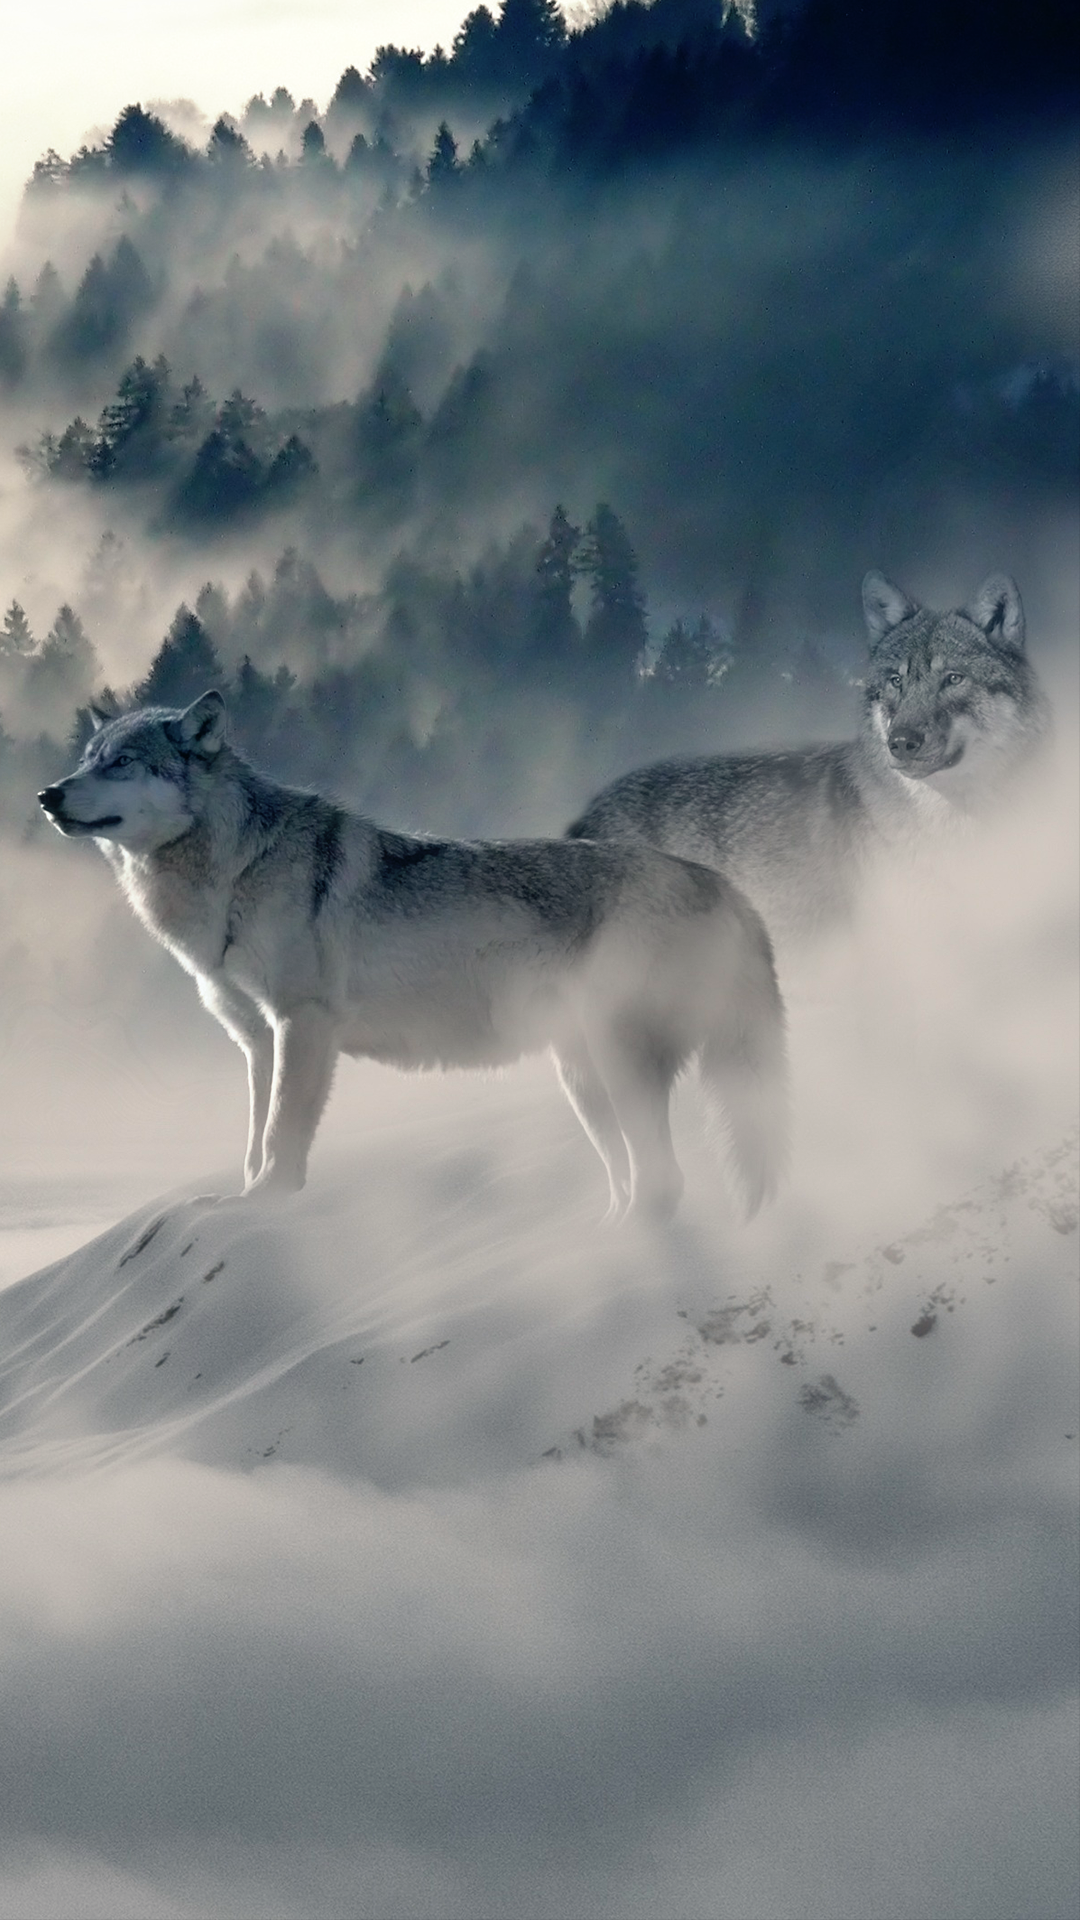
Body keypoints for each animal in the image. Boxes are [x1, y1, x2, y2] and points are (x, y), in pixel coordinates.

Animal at [38, 691, 787, 1220]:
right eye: (87, 758)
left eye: (121, 763)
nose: (47, 794)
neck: (234, 871)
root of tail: (725, 886)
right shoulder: (257, 1040)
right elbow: (252, 1141)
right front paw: (238, 1199)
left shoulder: (304, 1025)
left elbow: (280, 1138)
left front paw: (266, 1204)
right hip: (582, 1080)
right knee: (635, 1180)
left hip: (616, 1064)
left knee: (665, 1182)